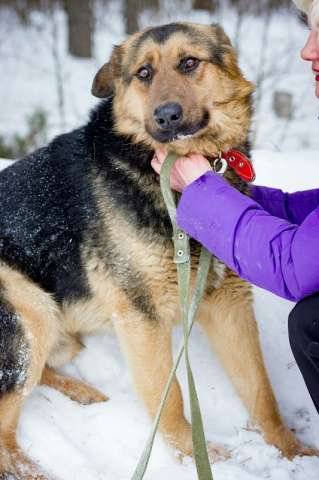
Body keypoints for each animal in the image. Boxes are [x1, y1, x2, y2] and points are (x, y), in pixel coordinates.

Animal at [0, 20, 316, 478]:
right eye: (143, 73)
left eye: (189, 63)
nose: (166, 116)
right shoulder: (141, 316)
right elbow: (170, 398)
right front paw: (190, 453)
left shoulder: (228, 303)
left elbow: (261, 390)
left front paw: (291, 451)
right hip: (31, 308)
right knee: (5, 434)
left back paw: (80, 390)